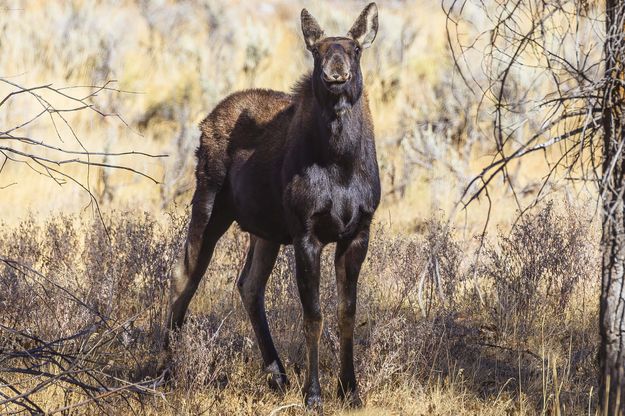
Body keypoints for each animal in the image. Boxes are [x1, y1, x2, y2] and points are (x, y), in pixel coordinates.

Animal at [167, 1, 380, 408]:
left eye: (356, 49)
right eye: (317, 50)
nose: (336, 74)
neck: (341, 162)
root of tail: (204, 123)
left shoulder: (357, 232)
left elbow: (347, 312)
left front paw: (351, 390)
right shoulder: (306, 234)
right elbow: (313, 316)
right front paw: (313, 394)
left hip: (264, 233)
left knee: (248, 285)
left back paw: (277, 374)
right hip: (209, 206)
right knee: (184, 274)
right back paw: (166, 367)